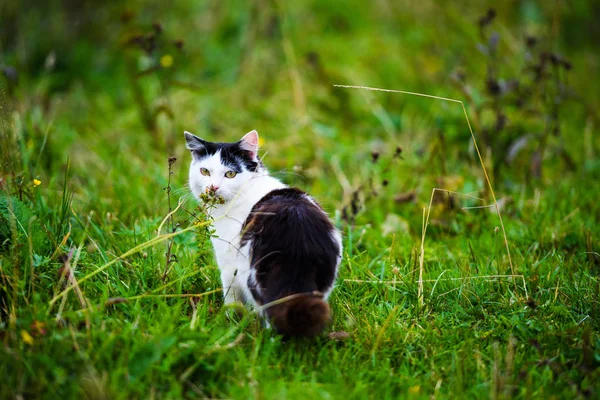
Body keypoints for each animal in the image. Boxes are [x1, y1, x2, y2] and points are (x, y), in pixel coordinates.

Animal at [183, 130, 342, 336]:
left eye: (230, 174)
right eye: (204, 171)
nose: (213, 188)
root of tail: (299, 243)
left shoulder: (228, 263)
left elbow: (232, 298)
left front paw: (229, 321)